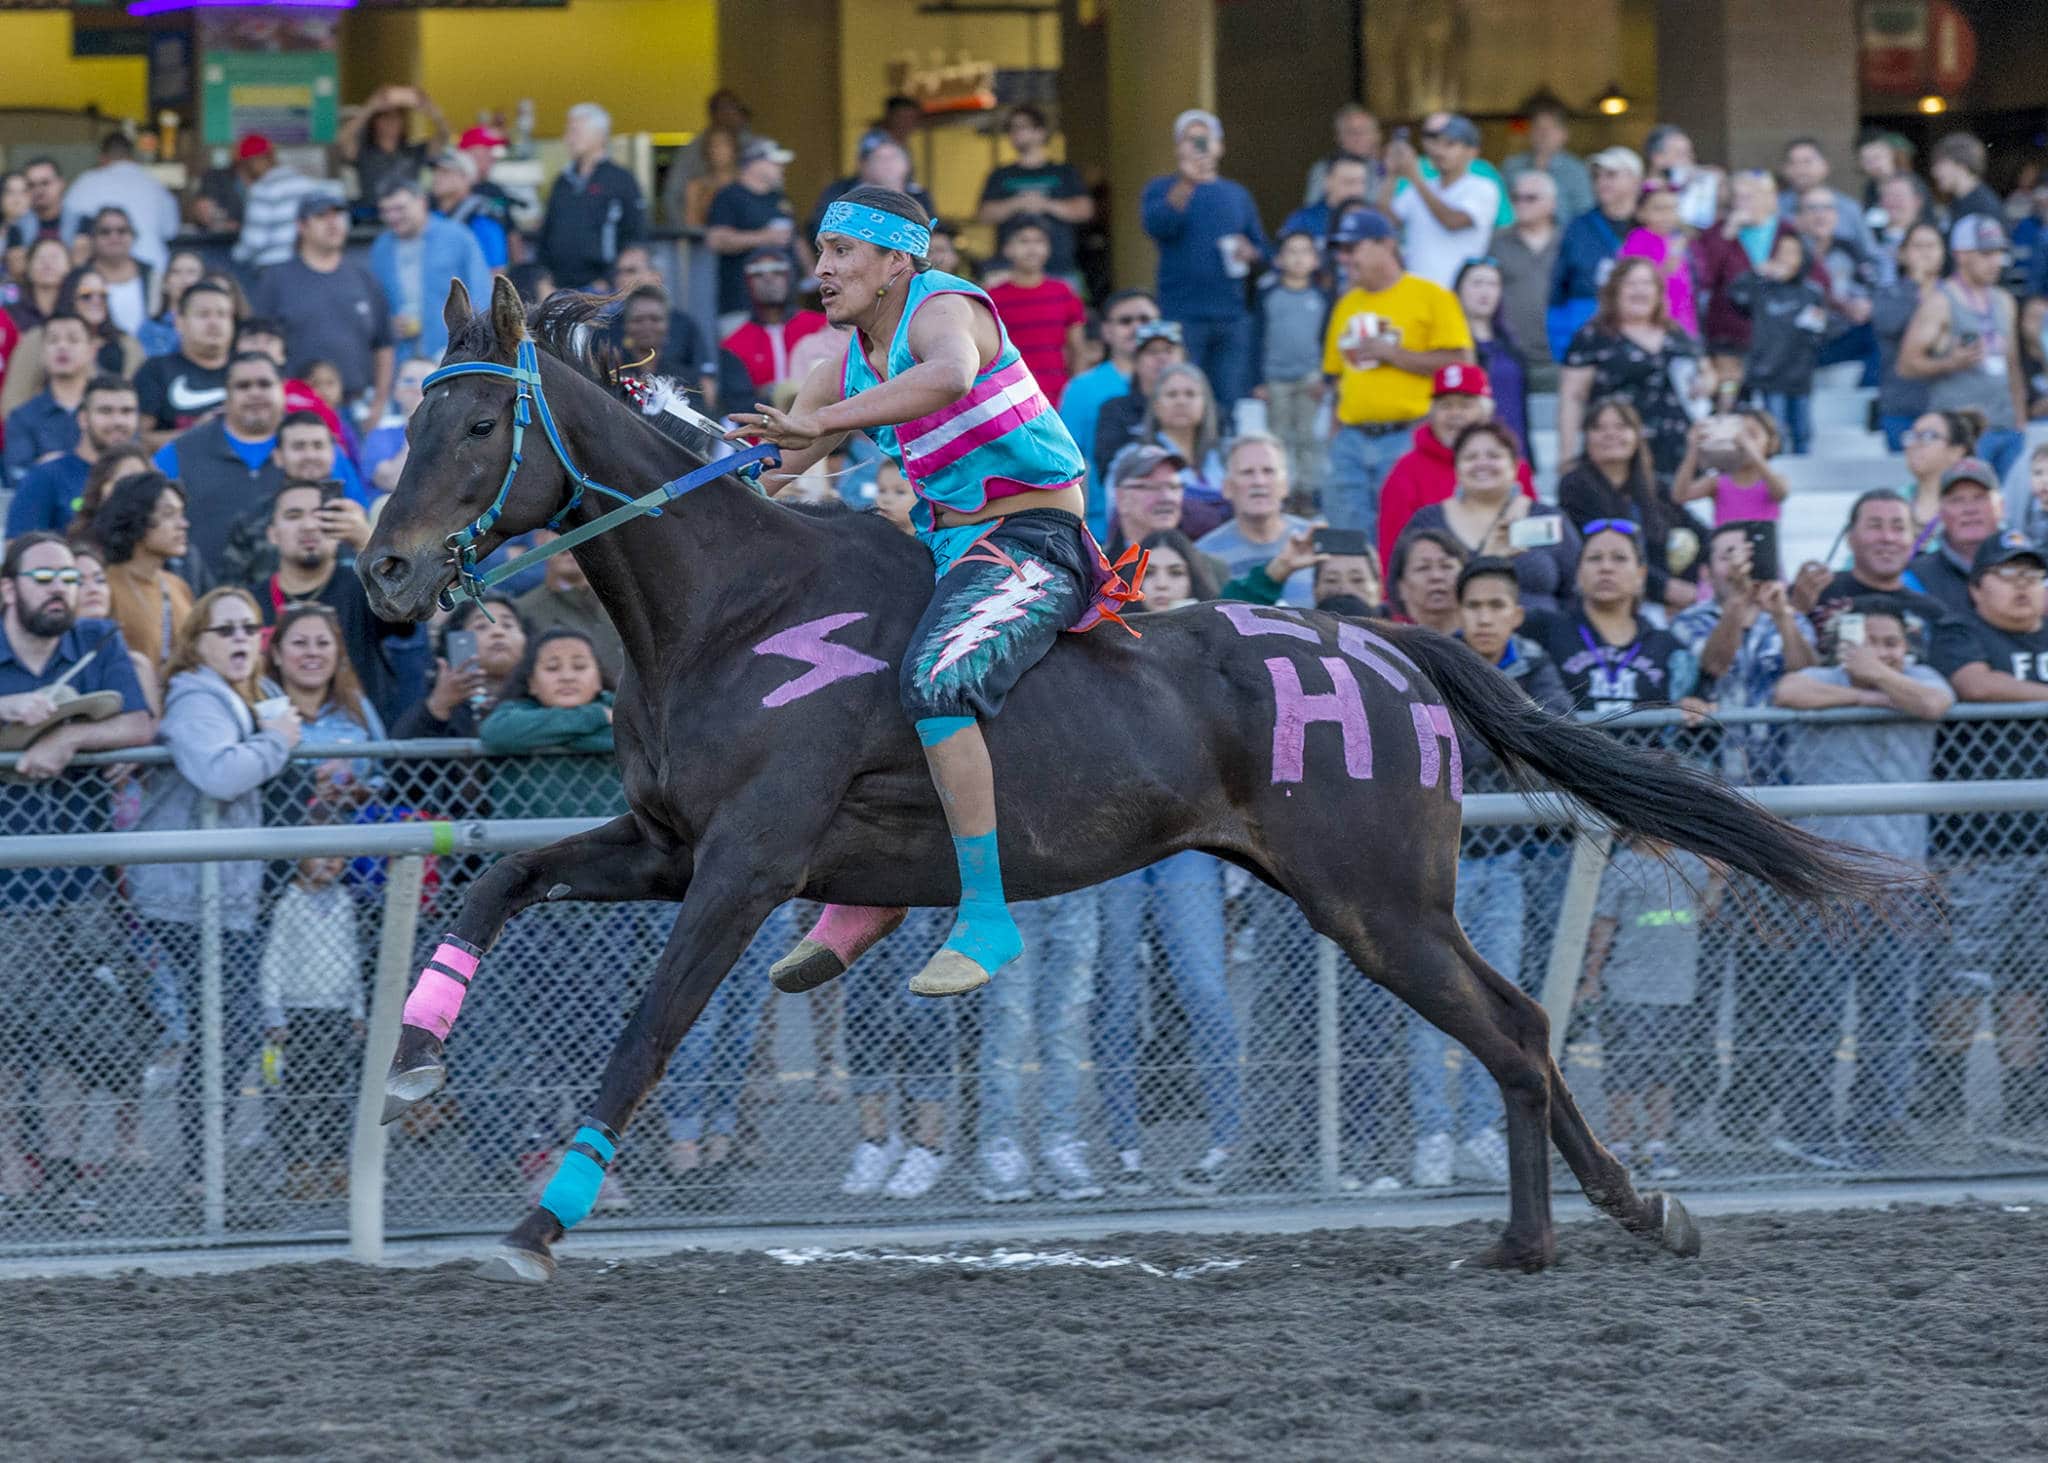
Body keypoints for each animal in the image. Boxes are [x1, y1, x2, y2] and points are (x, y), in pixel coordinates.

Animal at [364, 274, 1900, 1278]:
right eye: (411, 421)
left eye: (475, 429)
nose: (380, 573)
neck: (735, 603)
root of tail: (1386, 646)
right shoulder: (664, 839)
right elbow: (499, 877)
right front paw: (415, 1054)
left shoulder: (744, 861)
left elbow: (646, 1029)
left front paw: (539, 1220)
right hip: (1381, 901)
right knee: (1518, 1020)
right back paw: (1597, 1219)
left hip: (1375, 901)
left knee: (1511, 1027)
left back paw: (1566, 1227)